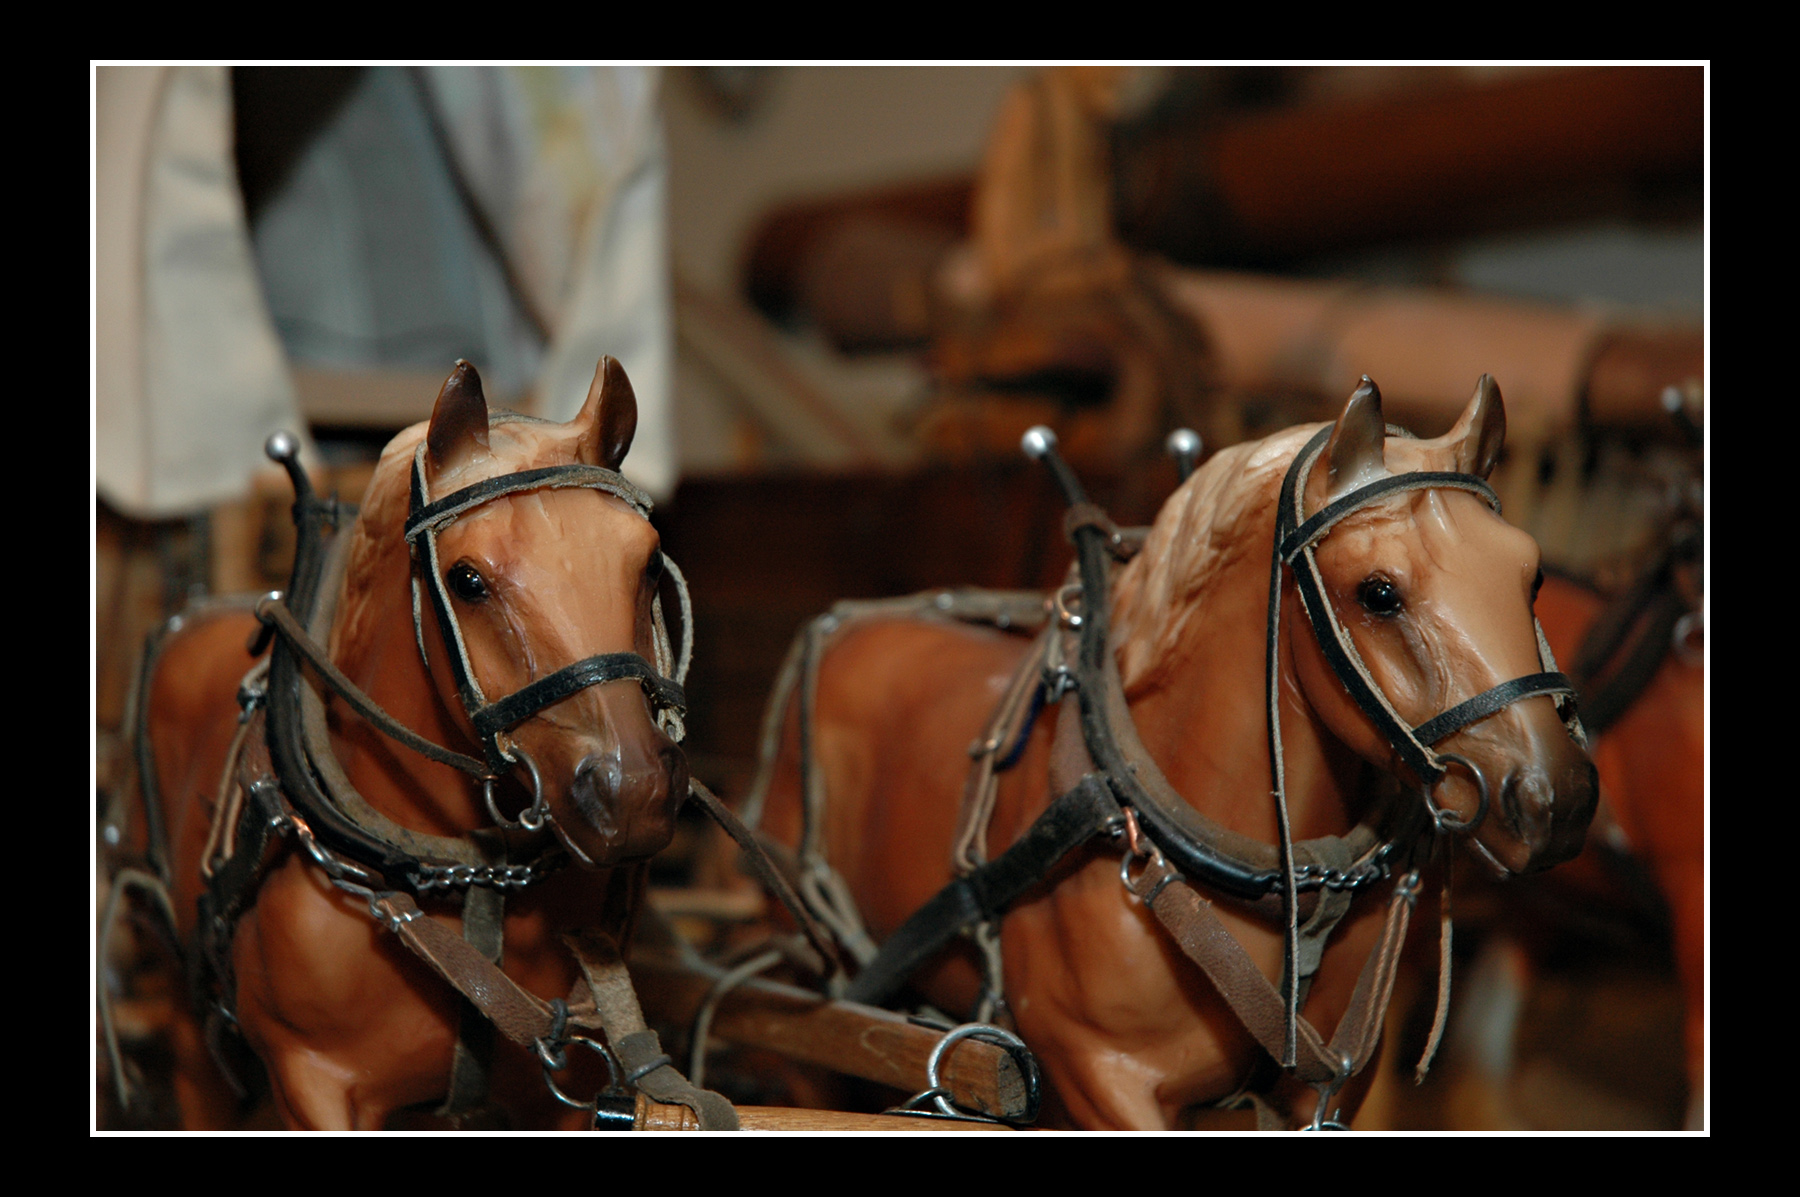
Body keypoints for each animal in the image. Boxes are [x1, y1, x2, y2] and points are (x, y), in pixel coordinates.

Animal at [752, 378, 1598, 1123]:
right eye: (1378, 593)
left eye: (1531, 574)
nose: (1555, 798)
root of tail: (846, 628)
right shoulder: (1101, 1078)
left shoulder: (1333, 1090)